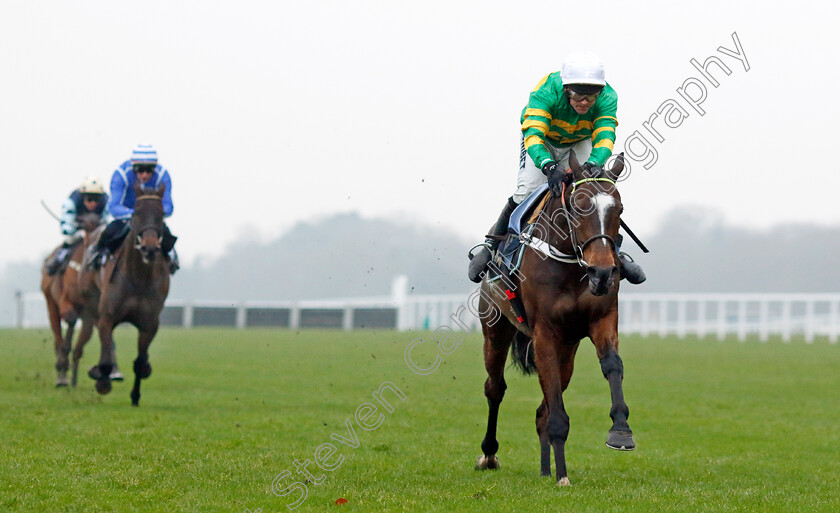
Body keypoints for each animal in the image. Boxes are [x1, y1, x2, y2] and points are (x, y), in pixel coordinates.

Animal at [40, 211, 101, 384]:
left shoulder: (90, 313)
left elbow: (81, 343)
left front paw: (73, 376)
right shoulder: (64, 301)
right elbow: (69, 321)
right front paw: (62, 368)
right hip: (50, 302)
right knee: (58, 334)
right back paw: (61, 370)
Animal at [88, 182, 171, 406]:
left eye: (161, 214)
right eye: (136, 213)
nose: (149, 248)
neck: (138, 279)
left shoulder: (149, 323)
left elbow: (140, 361)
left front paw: (135, 395)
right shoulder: (107, 317)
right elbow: (106, 357)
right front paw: (103, 381)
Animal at [476, 151, 632, 484]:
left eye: (619, 209)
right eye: (578, 206)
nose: (602, 272)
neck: (571, 265)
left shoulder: (602, 319)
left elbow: (612, 365)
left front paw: (621, 430)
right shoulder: (543, 333)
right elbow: (555, 411)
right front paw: (563, 475)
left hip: (568, 348)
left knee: (541, 409)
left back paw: (546, 469)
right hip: (495, 331)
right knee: (495, 388)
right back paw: (489, 454)